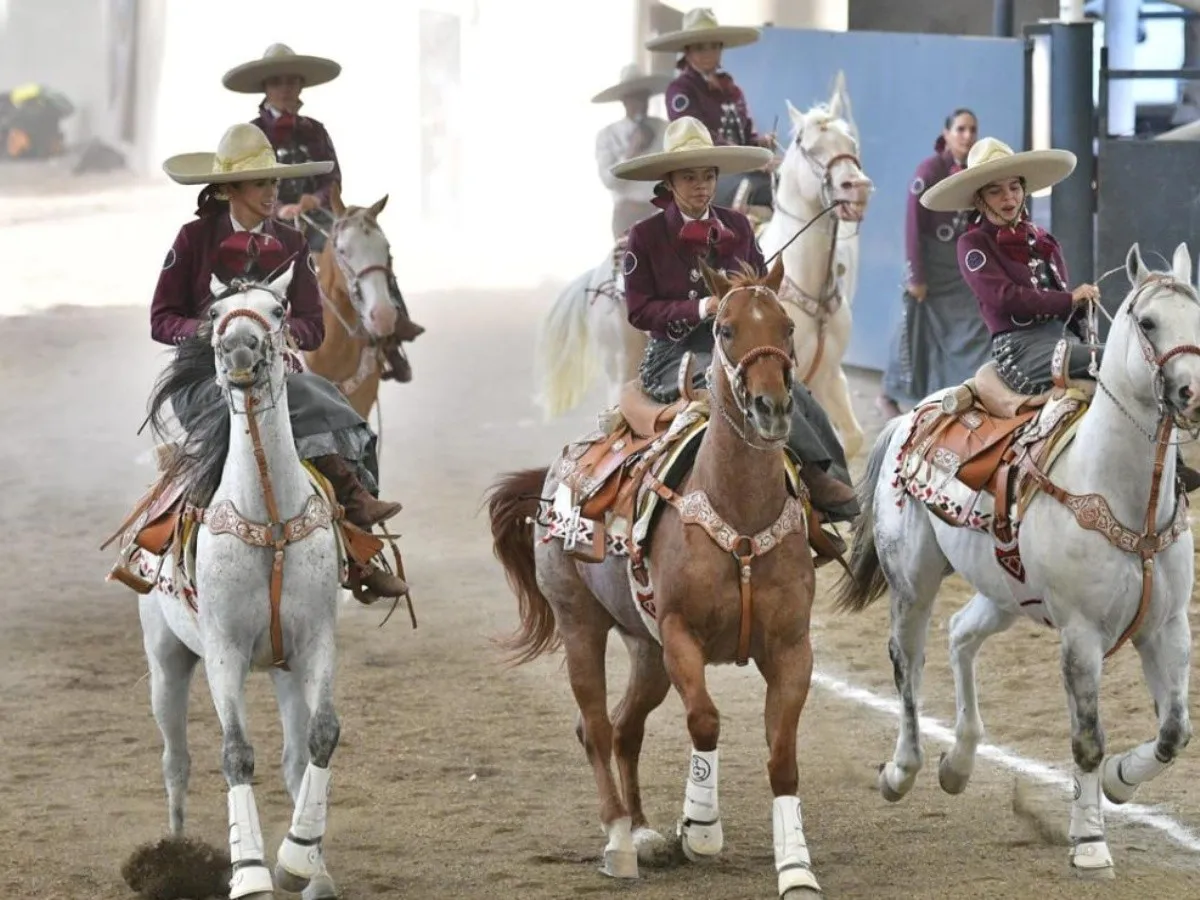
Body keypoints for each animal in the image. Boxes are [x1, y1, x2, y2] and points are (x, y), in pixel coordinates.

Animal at [141, 274, 348, 900]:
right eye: (215, 313)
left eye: (277, 309)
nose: (238, 348)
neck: (271, 518)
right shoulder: (224, 653)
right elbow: (235, 755)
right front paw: (249, 872)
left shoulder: (315, 643)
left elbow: (322, 737)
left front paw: (301, 858)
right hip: (166, 662)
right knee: (176, 761)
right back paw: (177, 853)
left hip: (282, 668)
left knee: (293, 757)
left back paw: (315, 869)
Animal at [487, 256, 825, 897]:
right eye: (725, 329)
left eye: (788, 327)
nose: (771, 408)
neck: (740, 518)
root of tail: (554, 473)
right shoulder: (679, 635)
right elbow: (705, 720)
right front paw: (701, 828)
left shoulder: (792, 648)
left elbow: (782, 759)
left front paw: (796, 866)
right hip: (582, 627)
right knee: (595, 727)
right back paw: (620, 841)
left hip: (645, 652)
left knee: (624, 729)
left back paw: (643, 829)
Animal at [835, 243, 1200, 883]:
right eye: (1150, 322)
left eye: (1199, 315)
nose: (1193, 394)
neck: (1123, 497)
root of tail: (911, 414)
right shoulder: (1080, 636)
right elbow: (1086, 738)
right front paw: (1089, 841)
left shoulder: (1168, 626)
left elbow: (1174, 731)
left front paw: (1120, 783)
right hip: (912, 583)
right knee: (909, 661)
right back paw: (902, 770)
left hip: (1005, 594)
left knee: (960, 635)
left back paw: (957, 763)